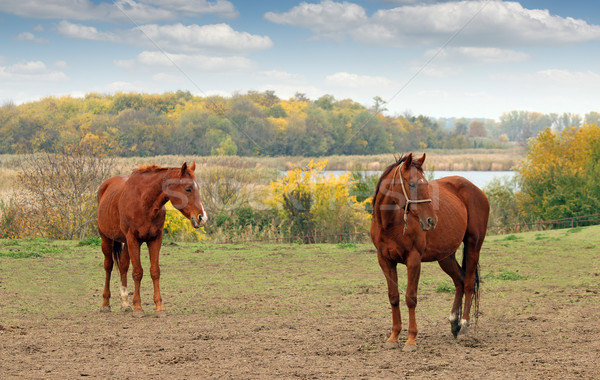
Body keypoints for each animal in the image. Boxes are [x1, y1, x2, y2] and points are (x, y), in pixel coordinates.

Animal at [97, 162, 207, 316]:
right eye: (188, 188)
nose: (202, 218)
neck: (144, 203)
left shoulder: (155, 239)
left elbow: (155, 271)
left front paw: (159, 307)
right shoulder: (133, 240)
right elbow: (137, 272)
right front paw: (138, 308)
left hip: (126, 243)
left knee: (123, 266)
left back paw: (125, 303)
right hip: (106, 238)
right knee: (108, 266)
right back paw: (105, 304)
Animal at [372, 153, 490, 352]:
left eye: (426, 184)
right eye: (412, 184)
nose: (431, 220)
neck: (390, 222)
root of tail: (476, 190)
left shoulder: (413, 260)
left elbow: (411, 298)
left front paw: (411, 340)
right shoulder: (385, 260)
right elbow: (394, 297)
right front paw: (394, 337)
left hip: (473, 245)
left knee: (468, 283)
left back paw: (464, 326)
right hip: (446, 256)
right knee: (459, 281)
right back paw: (454, 323)